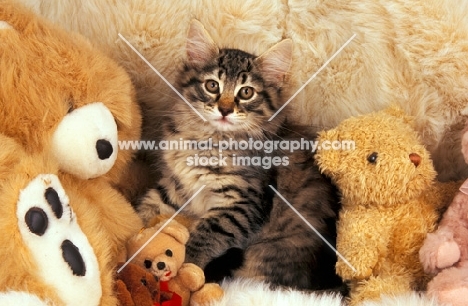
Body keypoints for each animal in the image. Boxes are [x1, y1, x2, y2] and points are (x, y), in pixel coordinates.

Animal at [137, 20, 342, 290]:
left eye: (246, 92)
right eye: (212, 85)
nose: (224, 110)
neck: (209, 140)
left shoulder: (243, 203)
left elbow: (204, 236)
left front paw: (184, 269)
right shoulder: (177, 185)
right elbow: (147, 206)